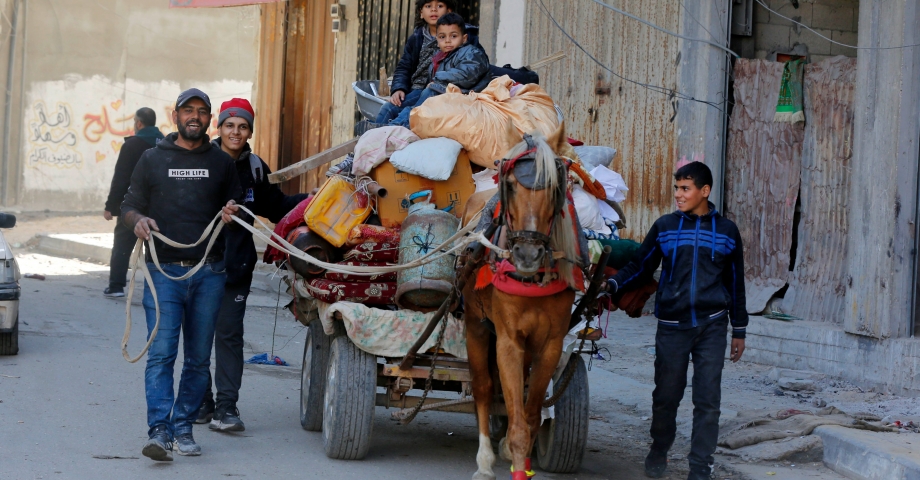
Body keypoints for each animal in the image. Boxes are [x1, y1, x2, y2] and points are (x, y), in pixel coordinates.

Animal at [460, 131, 584, 480]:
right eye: (512, 185)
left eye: (555, 188)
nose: (528, 255)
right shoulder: (507, 341)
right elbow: (516, 422)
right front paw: (510, 457)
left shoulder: (550, 344)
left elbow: (529, 417)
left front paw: (523, 461)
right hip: (475, 325)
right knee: (483, 387)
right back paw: (485, 460)